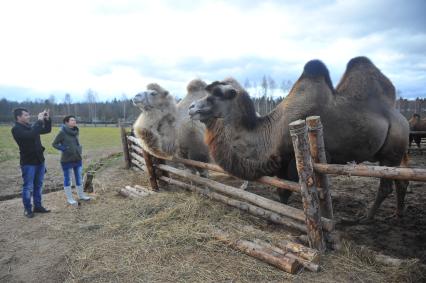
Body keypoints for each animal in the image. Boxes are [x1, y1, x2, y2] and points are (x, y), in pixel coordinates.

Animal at [190, 57, 410, 222]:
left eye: (215, 95)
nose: (191, 107)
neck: (270, 133)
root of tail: (402, 119)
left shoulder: (294, 164)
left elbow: (285, 194)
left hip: (391, 152)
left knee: (386, 187)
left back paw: (366, 217)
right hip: (393, 154)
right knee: (401, 181)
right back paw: (397, 214)